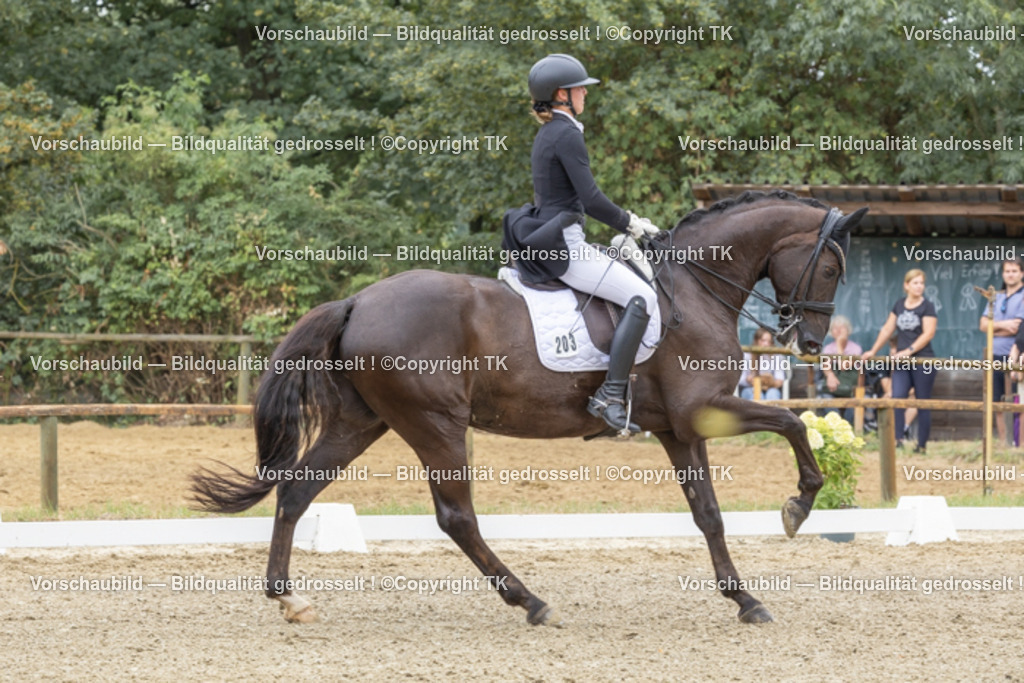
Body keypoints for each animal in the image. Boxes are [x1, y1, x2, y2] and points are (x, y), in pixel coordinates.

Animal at [191, 190, 868, 626]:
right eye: (832, 266)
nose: (811, 343)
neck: (697, 289)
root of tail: (356, 301)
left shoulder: (679, 428)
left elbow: (709, 514)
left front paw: (745, 600)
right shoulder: (704, 409)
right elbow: (792, 423)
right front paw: (797, 507)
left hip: (364, 421)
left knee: (297, 490)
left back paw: (288, 598)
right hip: (434, 424)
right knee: (456, 518)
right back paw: (531, 602)